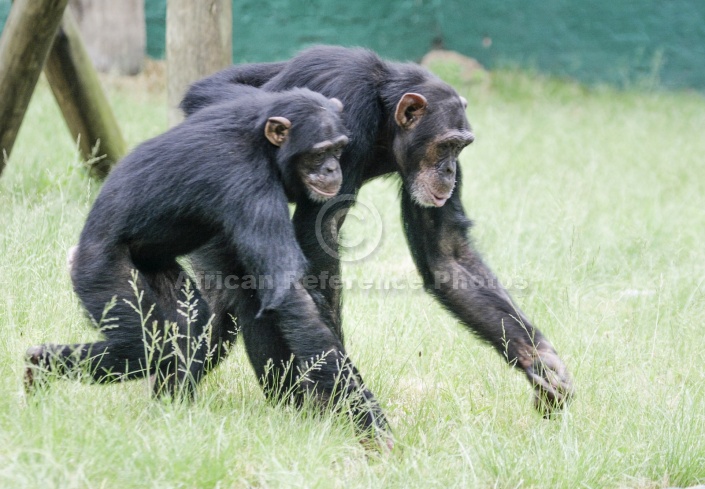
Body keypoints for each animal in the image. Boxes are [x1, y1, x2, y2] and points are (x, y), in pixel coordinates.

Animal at [23, 88, 390, 428]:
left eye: (339, 148)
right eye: (319, 152)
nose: (332, 168)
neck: (266, 148)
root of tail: (77, 251)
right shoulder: (249, 183)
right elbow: (289, 292)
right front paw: (369, 421)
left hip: (155, 269)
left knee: (189, 327)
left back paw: (170, 409)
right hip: (101, 271)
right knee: (144, 346)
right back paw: (39, 364)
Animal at [182, 44, 572, 424]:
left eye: (461, 147)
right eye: (446, 145)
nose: (449, 170)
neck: (385, 121)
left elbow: (447, 254)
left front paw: (541, 363)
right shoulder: (346, 108)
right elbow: (320, 238)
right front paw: (339, 399)